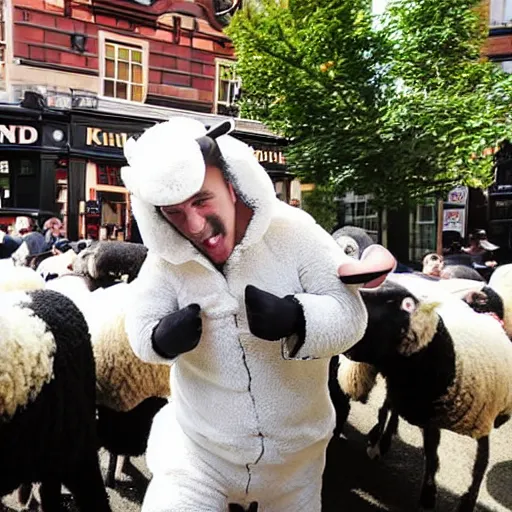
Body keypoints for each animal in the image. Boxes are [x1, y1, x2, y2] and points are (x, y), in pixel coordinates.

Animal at [344, 282, 512, 510]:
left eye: (400, 304)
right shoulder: (430, 419)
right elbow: (432, 457)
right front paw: (428, 495)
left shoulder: (479, 421)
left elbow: (480, 465)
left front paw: (467, 502)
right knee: (388, 409)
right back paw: (380, 437)